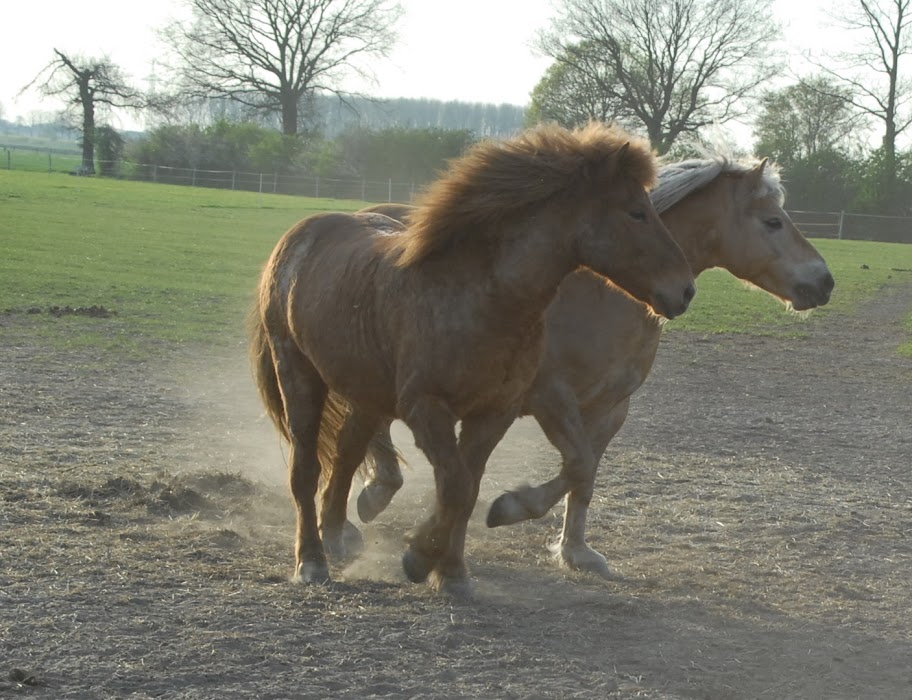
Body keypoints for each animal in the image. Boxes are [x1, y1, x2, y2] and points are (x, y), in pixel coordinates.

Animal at [246, 123, 696, 592]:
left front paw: (451, 569)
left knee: (347, 455)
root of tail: (303, 232)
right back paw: (311, 561)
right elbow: (458, 488)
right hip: (297, 374)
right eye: (637, 212)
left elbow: (468, 490)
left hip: (365, 392)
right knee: (305, 471)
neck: (482, 296)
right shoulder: (427, 408)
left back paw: (338, 536)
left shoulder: (493, 413)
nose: (684, 290)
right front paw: (421, 557)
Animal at [318, 153, 832, 580]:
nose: (825, 282)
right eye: (772, 221)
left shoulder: (610, 408)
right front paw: (508, 508)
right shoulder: (551, 396)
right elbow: (575, 464)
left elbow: (584, 476)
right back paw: (362, 506)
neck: (605, 291)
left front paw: (576, 552)